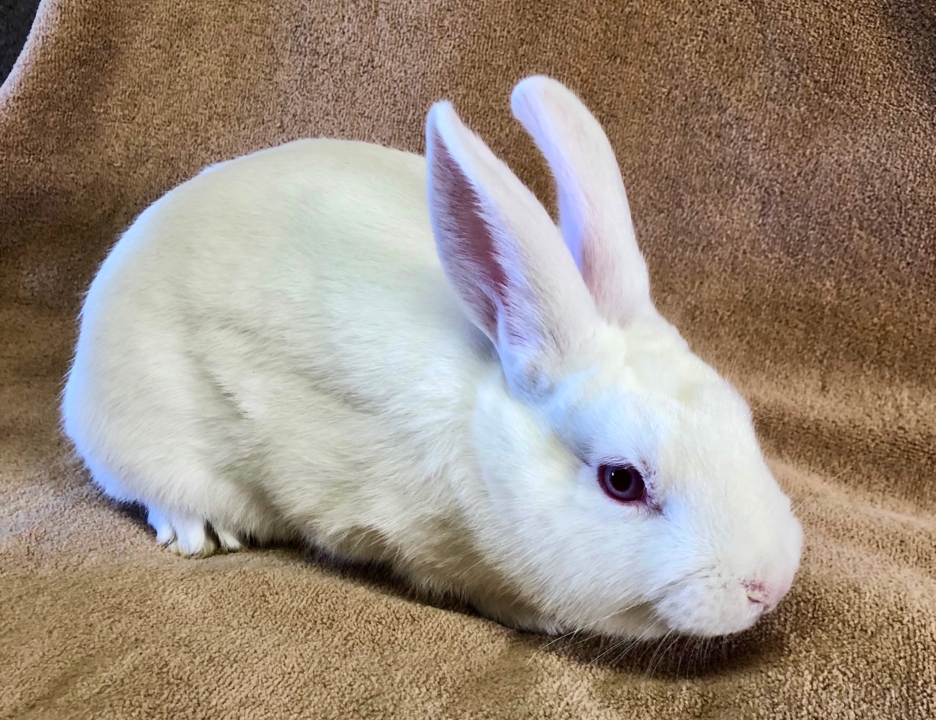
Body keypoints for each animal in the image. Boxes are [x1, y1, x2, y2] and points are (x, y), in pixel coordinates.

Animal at [62, 76, 802, 639]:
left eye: (741, 420)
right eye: (621, 481)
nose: (768, 584)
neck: (484, 434)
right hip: (140, 427)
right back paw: (200, 529)